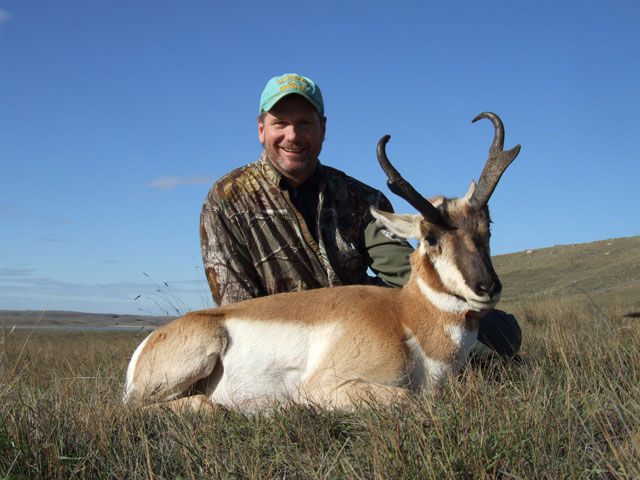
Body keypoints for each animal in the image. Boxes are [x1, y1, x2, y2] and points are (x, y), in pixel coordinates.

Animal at [124, 112, 520, 412]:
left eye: (487, 227)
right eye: (431, 237)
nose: (487, 287)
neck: (405, 315)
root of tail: (150, 341)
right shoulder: (328, 387)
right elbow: (410, 400)